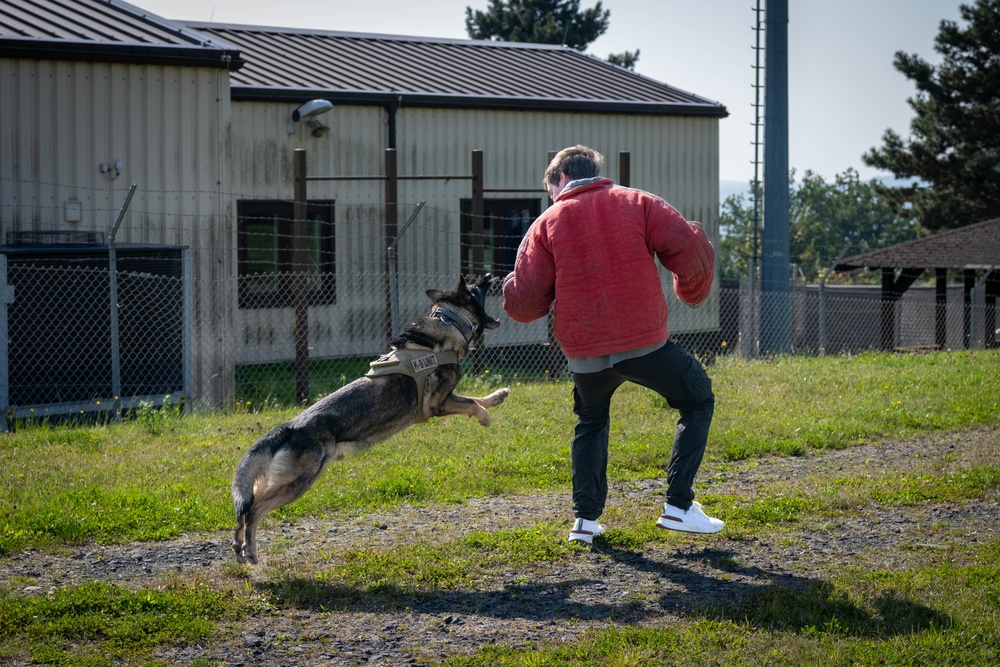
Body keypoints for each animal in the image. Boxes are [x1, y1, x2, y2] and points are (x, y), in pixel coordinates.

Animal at [232, 276, 508, 564]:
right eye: (477, 286)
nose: (491, 276)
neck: (448, 322)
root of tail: (290, 428)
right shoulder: (438, 404)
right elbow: (472, 403)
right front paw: (485, 417)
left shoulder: (447, 398)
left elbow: (476, 397)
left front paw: (498, 396)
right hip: (297, 482)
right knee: (254, 508)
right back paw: (250, 550)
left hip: (281, 481)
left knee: (245, 505)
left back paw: (239, 547)